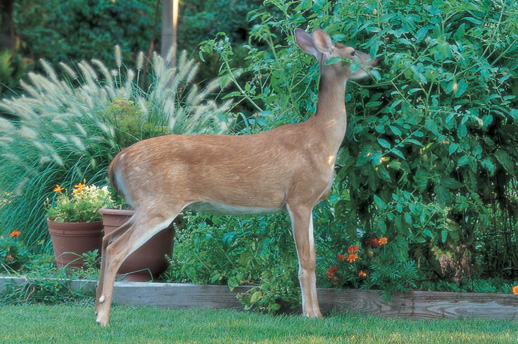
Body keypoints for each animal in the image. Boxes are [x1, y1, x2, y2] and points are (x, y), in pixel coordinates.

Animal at [94, 27, 378, 326]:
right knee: (116, 249)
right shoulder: (299, 198)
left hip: (144, 205)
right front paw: (312, 315)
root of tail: (117, 161)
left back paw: (96, 310)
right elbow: (307, 262)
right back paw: (103, 319)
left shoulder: (306, 204)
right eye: (352, 52)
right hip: (158, 204)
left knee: (107, 239)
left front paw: (316, 313)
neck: (322, 139)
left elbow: (311, 257)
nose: (375, 62)